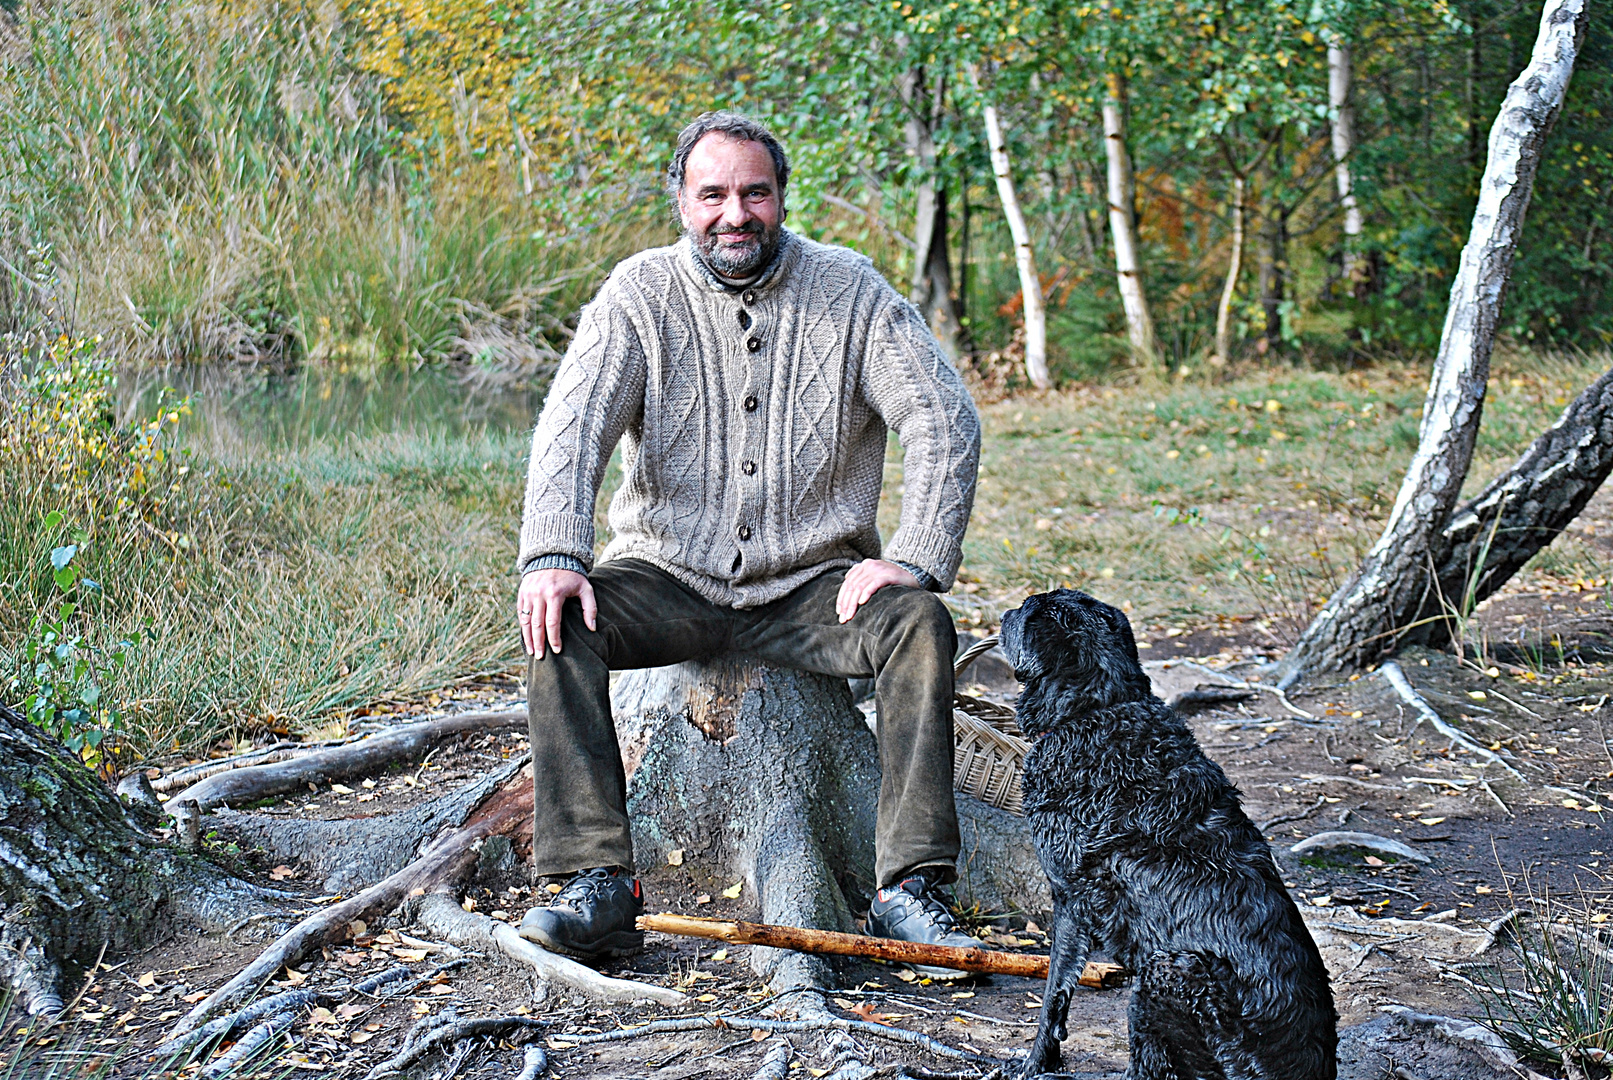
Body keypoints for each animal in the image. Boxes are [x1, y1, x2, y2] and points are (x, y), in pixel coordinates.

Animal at [1006, 593, 1335, 1080]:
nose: (1008, 610)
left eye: (1027, 609)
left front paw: (1034, 1063)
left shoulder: (1068, 898)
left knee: (1151, 1061)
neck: (1098, 709)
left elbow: (1054, 996)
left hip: (1167, 974)